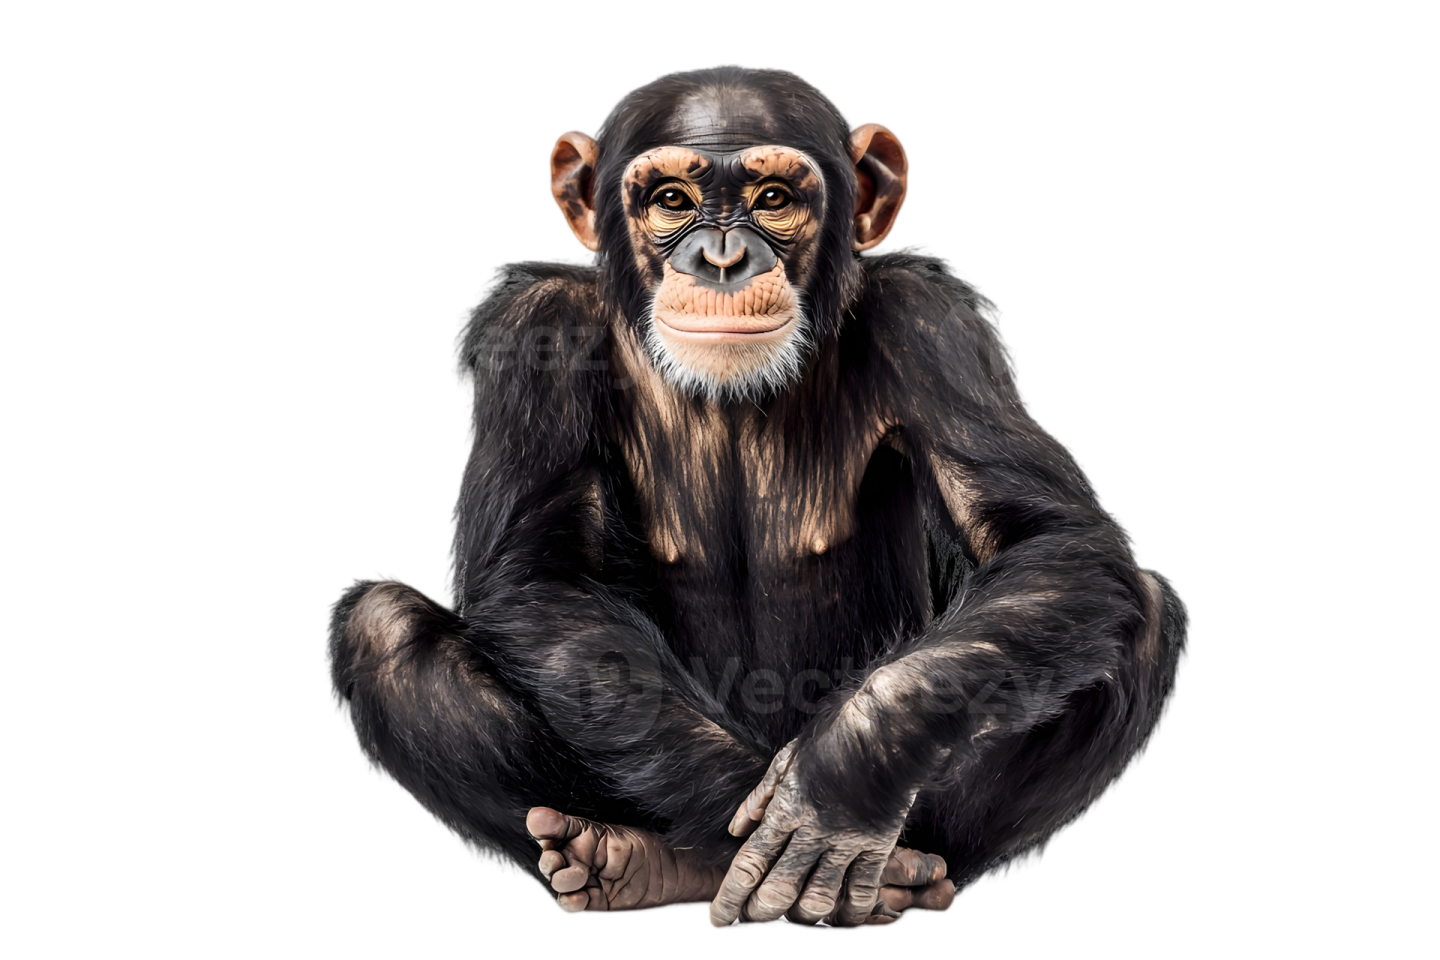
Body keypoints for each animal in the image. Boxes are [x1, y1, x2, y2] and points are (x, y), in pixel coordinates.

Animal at [325, 64, 1189, 930]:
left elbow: (1047, 537)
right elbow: (537, 573)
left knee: (1140, 610)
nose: (722, 258)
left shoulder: (932, 323)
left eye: (773, 197)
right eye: (672, 200)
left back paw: (901, 880)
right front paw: (758, 816)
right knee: (383, 629)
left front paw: (832, 790)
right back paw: (639, 862)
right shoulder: (537, 329)